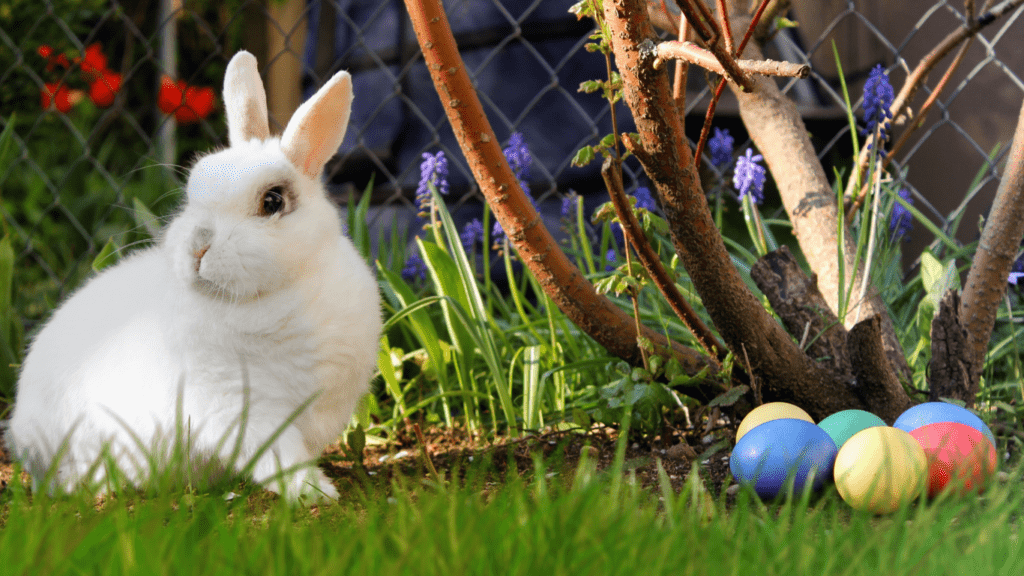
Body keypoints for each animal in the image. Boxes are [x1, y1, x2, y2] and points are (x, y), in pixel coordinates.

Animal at [4, 50, 380, 498]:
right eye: (192, 193)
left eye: (272, 201)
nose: (198, 246)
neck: (280, 294)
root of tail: (20, 432)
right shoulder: (239, 405)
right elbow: (277, 453)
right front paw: (312, 491)